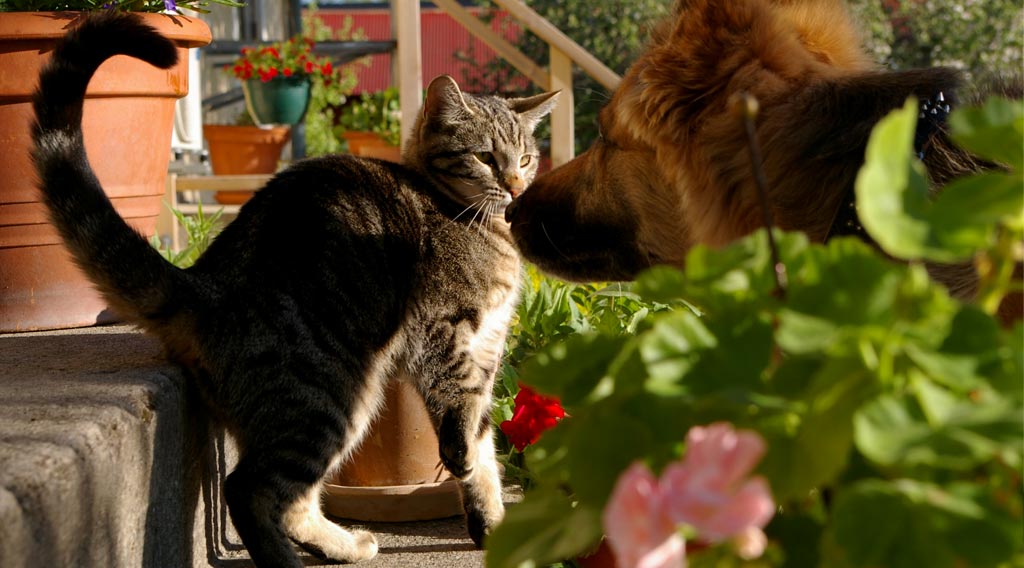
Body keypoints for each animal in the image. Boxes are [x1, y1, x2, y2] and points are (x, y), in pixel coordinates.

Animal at [32, 13, 557, 568]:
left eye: (526, 158)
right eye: (485, 157)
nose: (516, 186)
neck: (475, 222)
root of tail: (204, 282)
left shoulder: (490, 345)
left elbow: (484, 444)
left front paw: (493, 523)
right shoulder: (444, 329)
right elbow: (461, 414)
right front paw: (467, 471)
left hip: (345, 402)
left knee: (293, 501)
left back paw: (343, 543)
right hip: (325, 394)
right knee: (248, 489)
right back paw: (287, 558)